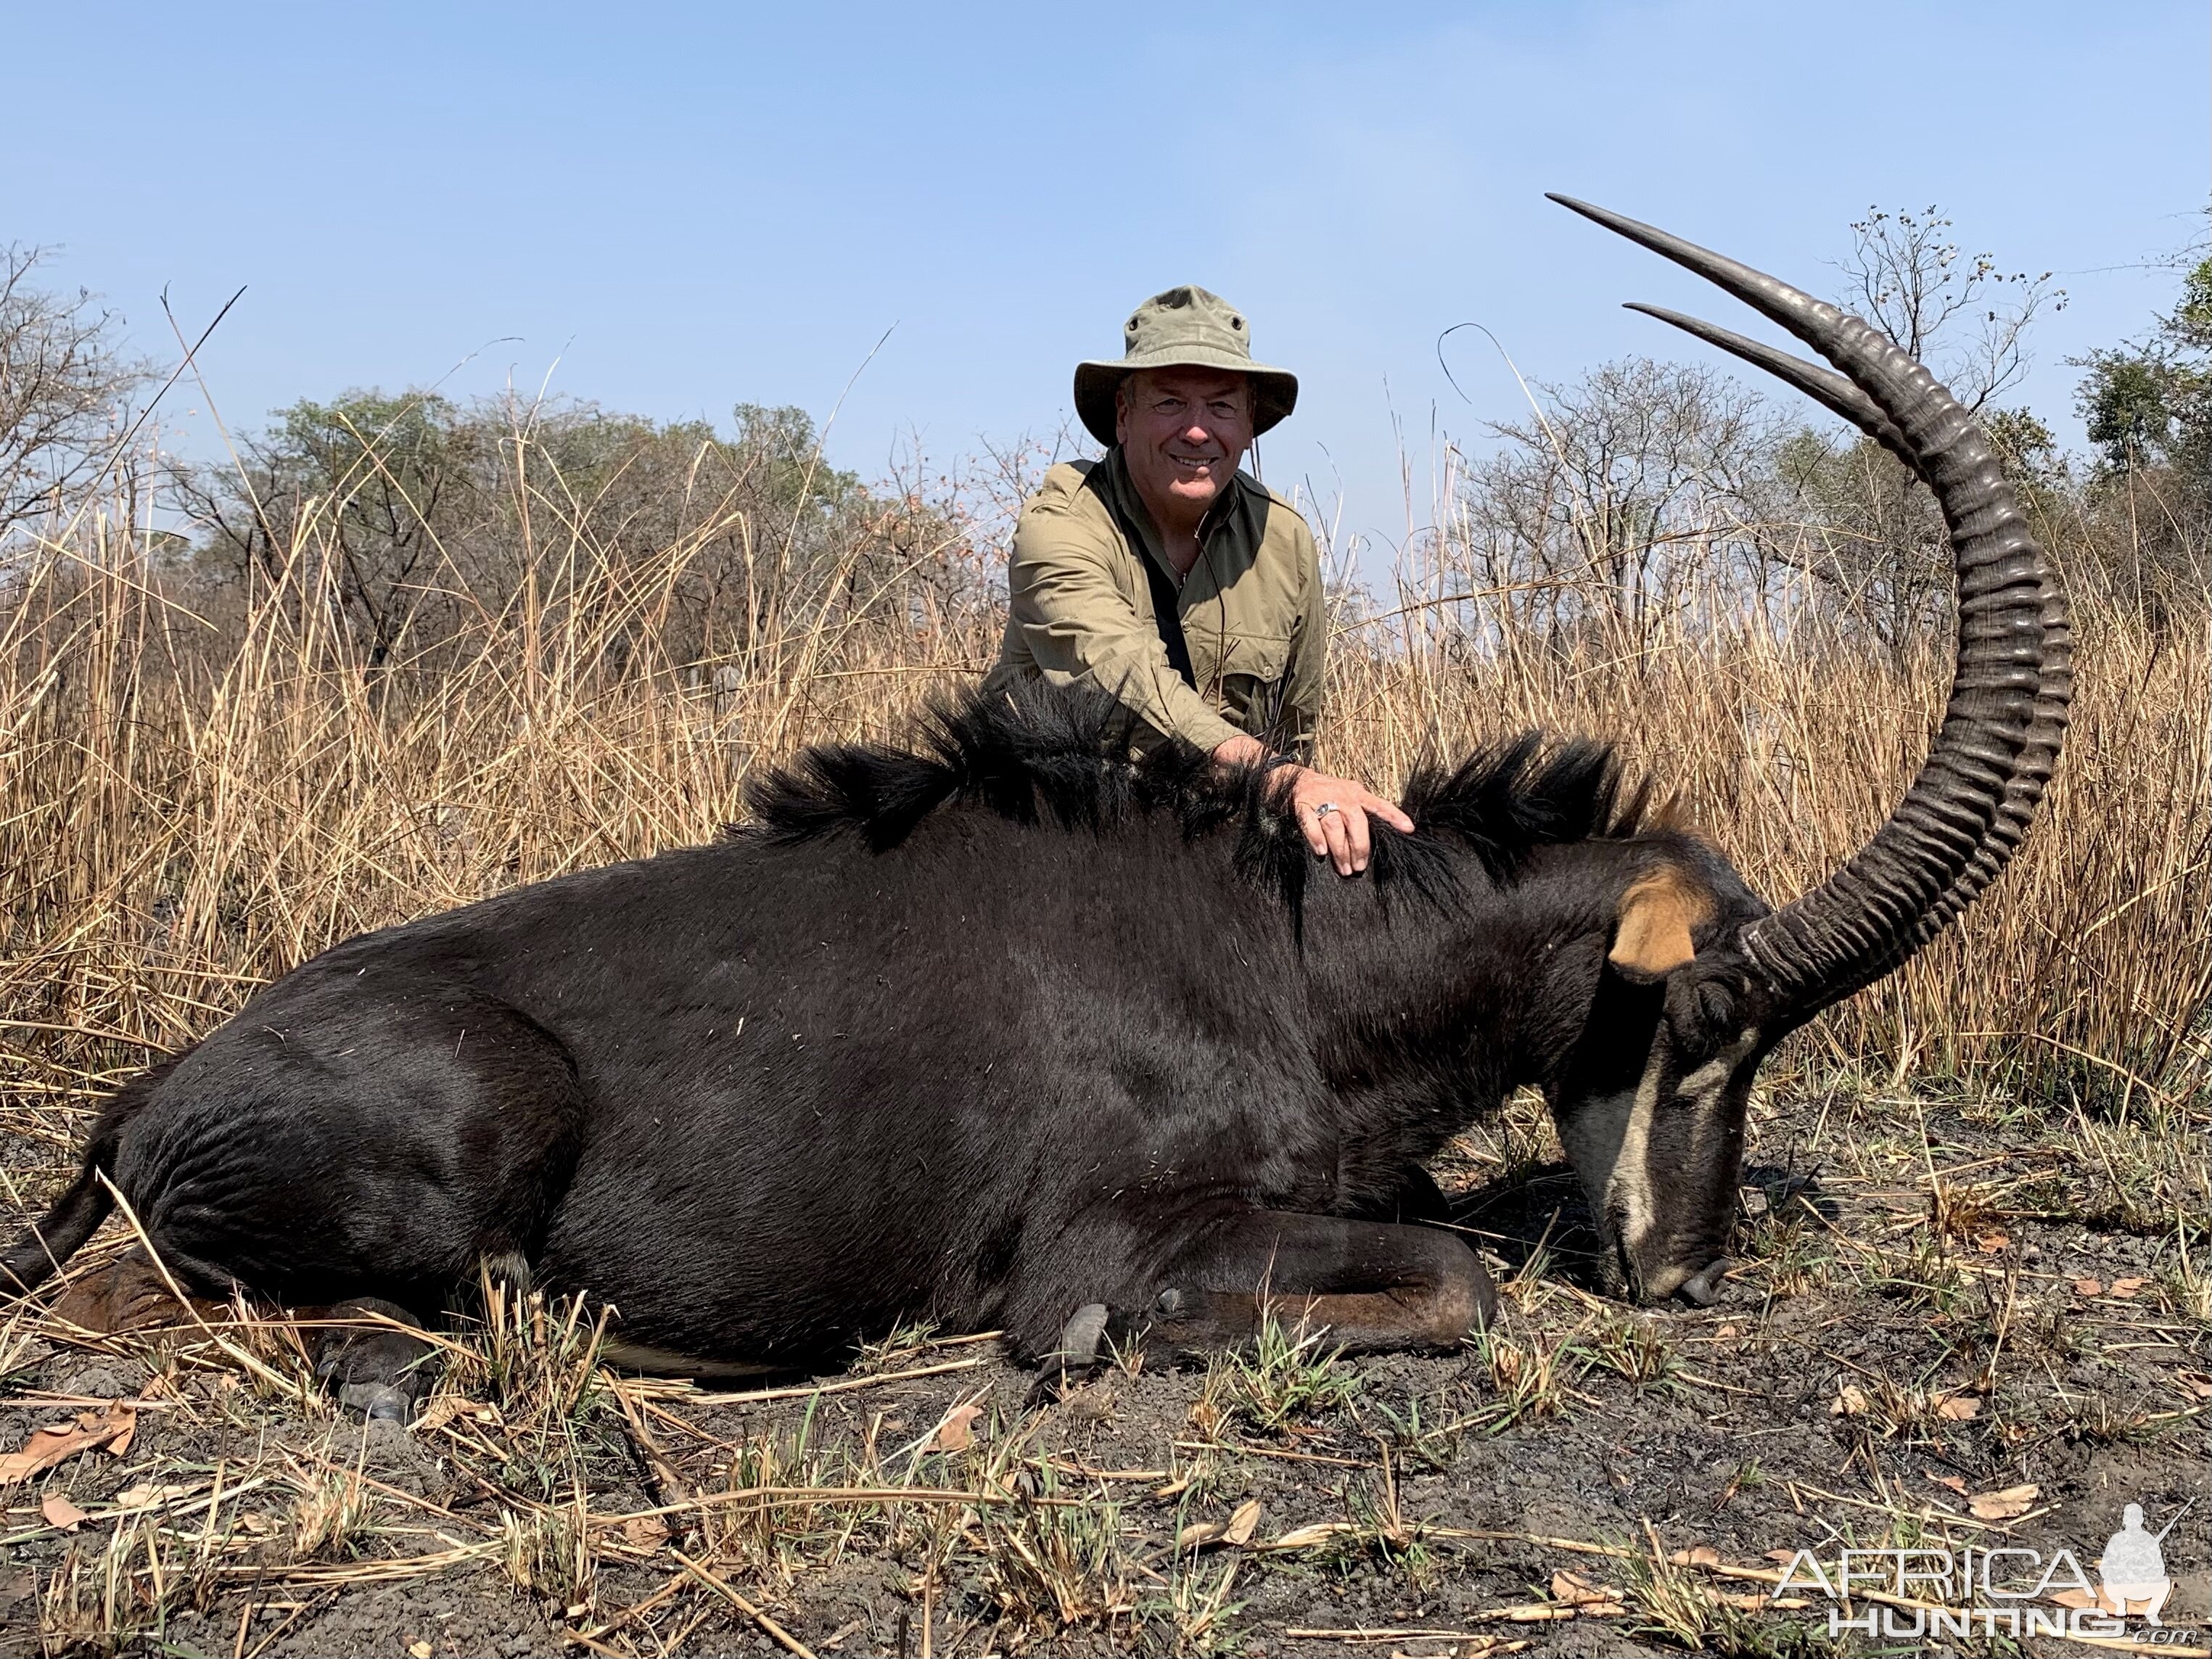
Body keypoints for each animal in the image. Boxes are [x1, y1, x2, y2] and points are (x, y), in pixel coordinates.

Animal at [0, 201, 2070, 1424]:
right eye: (1704, 1023)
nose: (1684, 1273)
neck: (1299, 949)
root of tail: (156, 1092)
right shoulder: (1105, 1235)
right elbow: (1455, 1278)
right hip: (465, 1126)